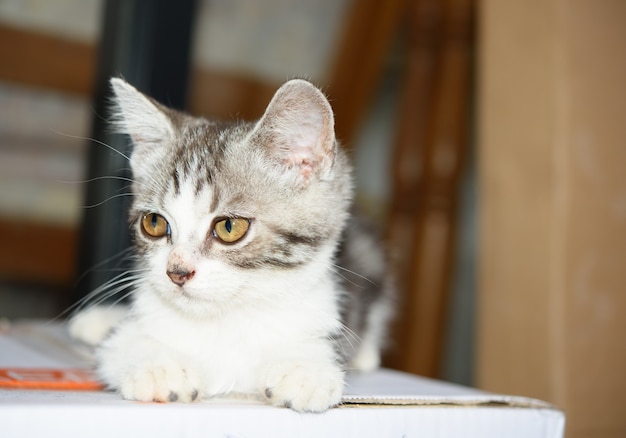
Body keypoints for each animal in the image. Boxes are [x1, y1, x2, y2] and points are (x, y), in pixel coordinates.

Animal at [70, 77, 392, 412]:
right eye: (154, 223)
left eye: (228, 227)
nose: (177, 272)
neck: (225, 320)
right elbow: (118, 346)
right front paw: (158, 367)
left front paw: (303, 369)